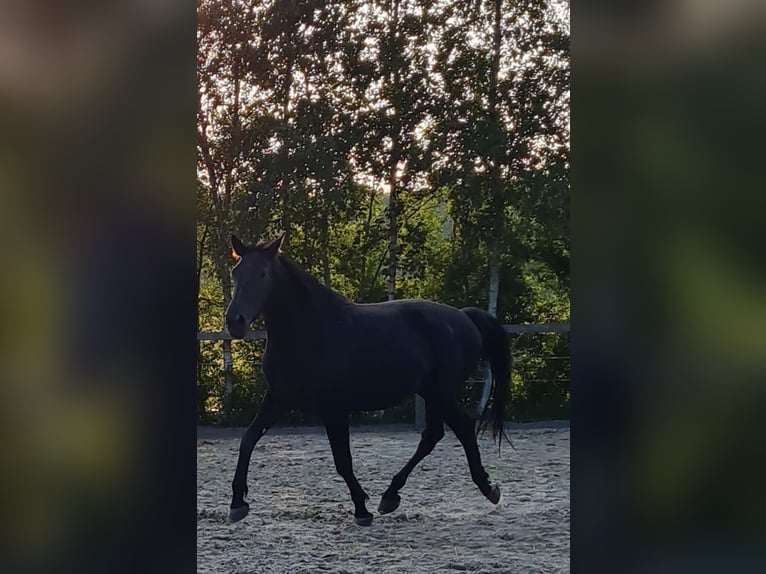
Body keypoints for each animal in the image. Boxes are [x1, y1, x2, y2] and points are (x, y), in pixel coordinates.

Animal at [225, 233, 512, 528]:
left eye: (262, 273)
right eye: (235, 272)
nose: (234, 321)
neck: (309, 332)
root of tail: (465, 317)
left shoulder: (334, 409)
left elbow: (343, 461)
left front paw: (362, 508)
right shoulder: (278, 398)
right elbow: (248, 439)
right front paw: (237, 504)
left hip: (438, 393)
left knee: (434, 434)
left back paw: (391, 495)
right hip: (434, 393)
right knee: (461, 428)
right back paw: (487, 489)